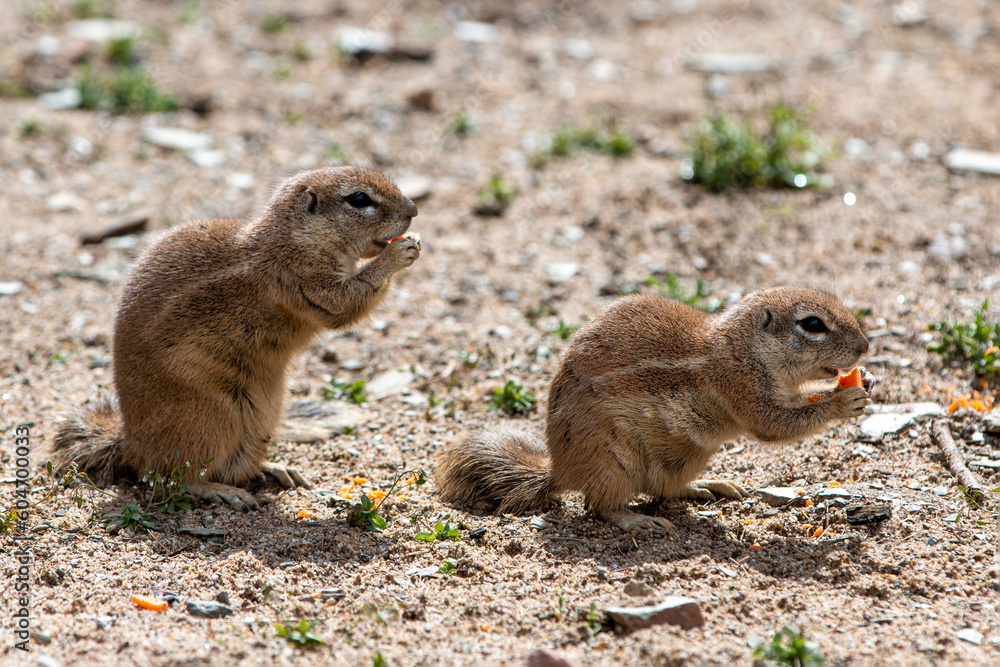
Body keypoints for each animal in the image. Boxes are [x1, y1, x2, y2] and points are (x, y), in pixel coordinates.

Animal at [52, 166, 420, 510]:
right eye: (359, 199)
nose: (414, 210)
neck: (294, 238)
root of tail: (128, 441)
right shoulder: (306, 281)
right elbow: (347, 302)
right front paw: (397, 255)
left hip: (263, 418)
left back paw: (276, 469)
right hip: (209, 418)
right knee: (170, 478)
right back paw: (222, 491)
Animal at [437, 287, 875, 532]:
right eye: (813, 324)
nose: (865, 346)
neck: (741, 347)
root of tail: (560, 469)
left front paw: (865, 379)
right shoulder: (739, 385)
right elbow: (775, 425)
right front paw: (843, 399)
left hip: (687, 456)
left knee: (663, 489)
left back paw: (708, 486)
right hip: (616, 461)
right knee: (600, 506)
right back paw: (639, 521)